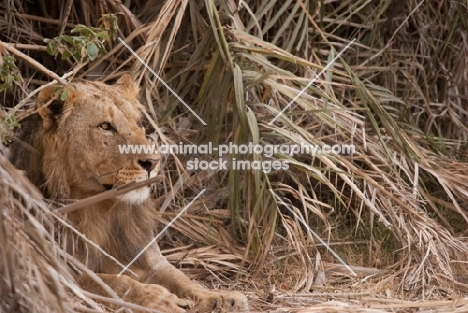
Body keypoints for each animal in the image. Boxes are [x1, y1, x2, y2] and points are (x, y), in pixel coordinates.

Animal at [12, 75, 249, 312]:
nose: (153, 161)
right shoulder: (61, 269)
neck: (101, 211)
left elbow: (181, 278)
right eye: (105, 126)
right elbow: (113, 283)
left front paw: (222, 298)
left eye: (139, 123)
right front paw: (163, 300)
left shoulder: (150, 258)